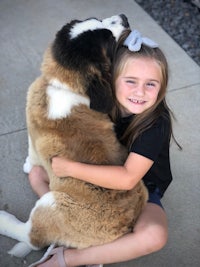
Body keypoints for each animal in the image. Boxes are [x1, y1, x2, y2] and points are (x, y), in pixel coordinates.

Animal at [0, 15, 147, 258]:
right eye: (97, 21)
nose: (124, 17)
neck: (63, 86)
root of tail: (125, 227)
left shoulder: (33, 132)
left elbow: (32, 154)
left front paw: (28, 166)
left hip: (51, 204)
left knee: (32, 238)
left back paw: (4, 220)